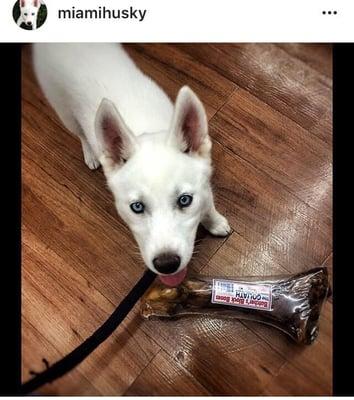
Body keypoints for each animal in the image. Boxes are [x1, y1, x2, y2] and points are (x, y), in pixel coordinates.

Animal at [32, 43, 232, 286]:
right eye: (137, 207)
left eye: (185, 200)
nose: (166, 265)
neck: (147, 129)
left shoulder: (204, 184)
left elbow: (209, 206)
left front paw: (215, 222)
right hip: (64, 110)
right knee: (79, 132)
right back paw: (90, 153)